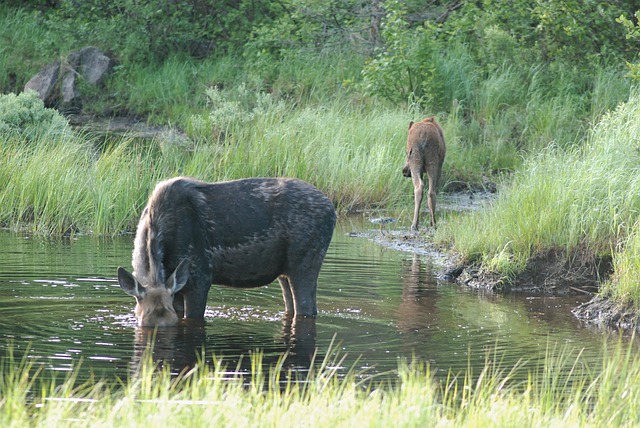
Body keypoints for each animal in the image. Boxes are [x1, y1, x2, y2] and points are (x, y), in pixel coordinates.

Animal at [117, 177, 338, 328]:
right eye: (142, 320)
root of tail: (332, 210)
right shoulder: (177, 288)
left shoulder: (200, 278)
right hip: (285, 272)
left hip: (305, 262)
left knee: (306, 308)